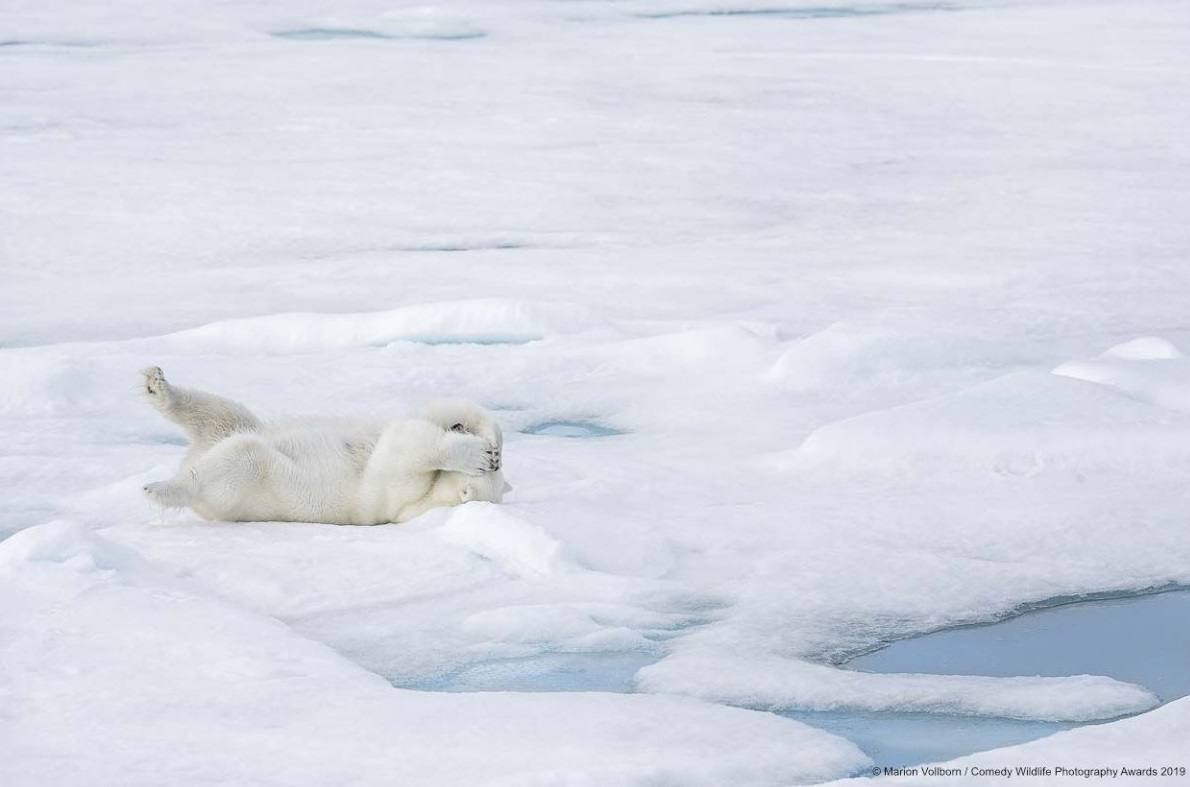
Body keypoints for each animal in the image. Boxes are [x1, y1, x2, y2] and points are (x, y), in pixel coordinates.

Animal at [140, 366, 511, 523]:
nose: (461, 430)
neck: (434, 498)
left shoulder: (397, 498)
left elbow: (405, 446)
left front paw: (474, 454)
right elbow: (424, 416)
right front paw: (487, 438)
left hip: (247, 486)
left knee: (240, 456)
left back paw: (161, 488)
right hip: (233, 426)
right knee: (223, 414)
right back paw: (157, 386)